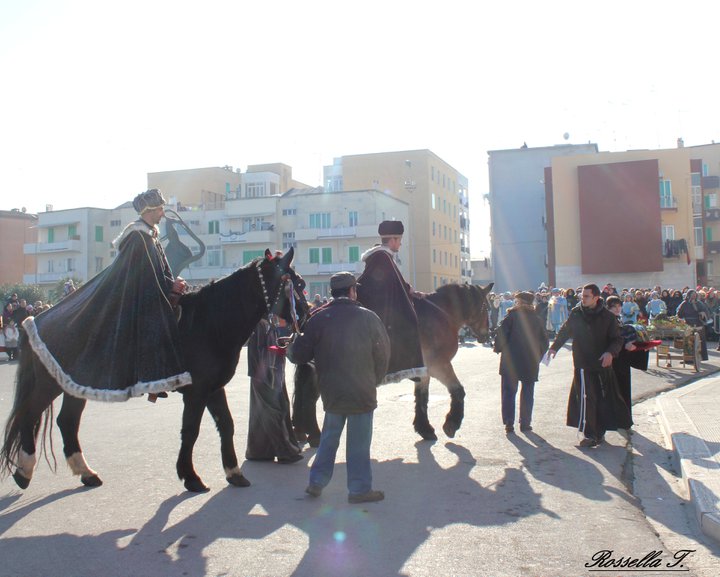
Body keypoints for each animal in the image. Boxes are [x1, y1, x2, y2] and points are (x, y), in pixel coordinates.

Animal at [0, 248, 306, 490]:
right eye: (298, 284)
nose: (304, 315)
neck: (210, 322)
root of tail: (37, 318)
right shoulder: (196, 392)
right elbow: (190, 430)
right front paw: (190, 477)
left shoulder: (213, 388)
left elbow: (227, 425)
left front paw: (234, 473)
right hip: (48, 384)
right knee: (29, 415)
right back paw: (24, 471)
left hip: (73, 384)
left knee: (67, 422)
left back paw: (85, 473)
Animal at [292, 282, 490, 444]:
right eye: (485, 306)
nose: (487, 334)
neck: (440, 315)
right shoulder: (439, 365)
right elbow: (458, 390)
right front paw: (451, 423)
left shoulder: (423, 370)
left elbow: (422, 397)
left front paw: (424, 428)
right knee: (309, 399)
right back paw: (315, 435)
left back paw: (304, 433)